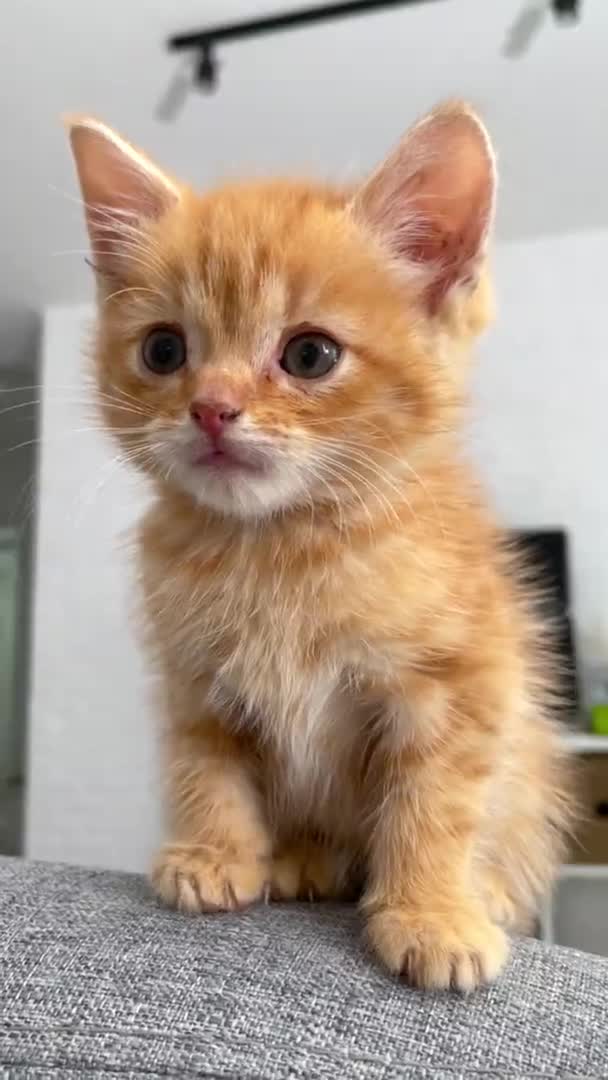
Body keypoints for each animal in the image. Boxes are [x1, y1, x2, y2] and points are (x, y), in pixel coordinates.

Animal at [69, 105, 574, 989]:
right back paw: (305, 857)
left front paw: (432, 913)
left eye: (310, 355)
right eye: (164, 350)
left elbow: (436, 801)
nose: (211, 409)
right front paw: (215, 853)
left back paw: (486, 890)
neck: (282, 545)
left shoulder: (463, 679)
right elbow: (206, 765)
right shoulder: (194, 680)